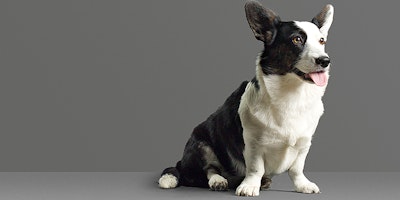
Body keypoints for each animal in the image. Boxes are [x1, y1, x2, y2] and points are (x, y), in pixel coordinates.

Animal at [158, 0, 332, 197]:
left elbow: (297, 169)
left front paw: (303, 185)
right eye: (297, 39)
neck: (293, 95)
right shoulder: (253, 144)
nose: (325, 61)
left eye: (322, 41)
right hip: (201, 144)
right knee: (208, 170)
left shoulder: (304, 144)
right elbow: (256, 168)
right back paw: (218, 181)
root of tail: (181, 163)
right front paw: (249, 187)